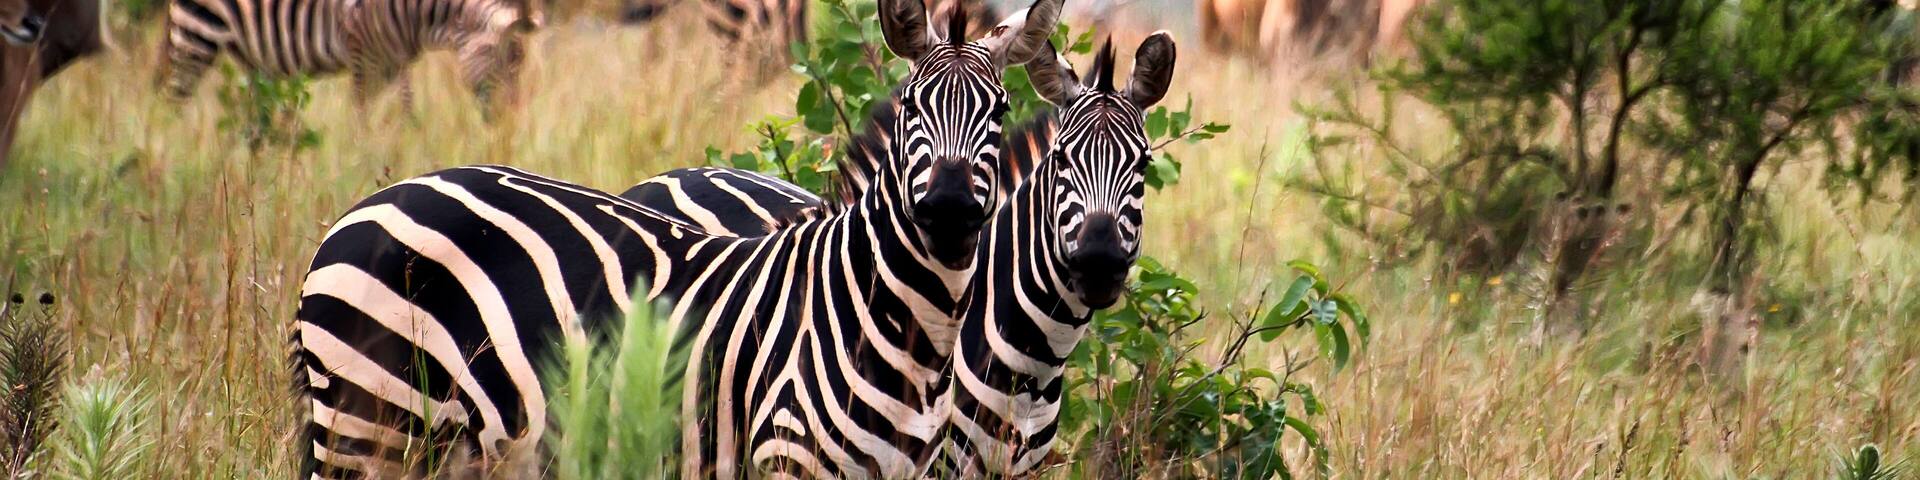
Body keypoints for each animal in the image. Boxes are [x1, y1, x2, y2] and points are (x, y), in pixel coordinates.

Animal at [160, 0, 541, 105]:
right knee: (175, 101)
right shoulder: (362, 54)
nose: (508, 120)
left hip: (247, 56)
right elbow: (365, 115)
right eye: (507, 62)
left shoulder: (394, 61)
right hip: (197, 34)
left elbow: (405, 110)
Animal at [290, 0, 1062, 476]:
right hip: (369, 422)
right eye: (908, 109)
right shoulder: (789, 456)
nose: (952, 211)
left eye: (999, 111)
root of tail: (369, 203)